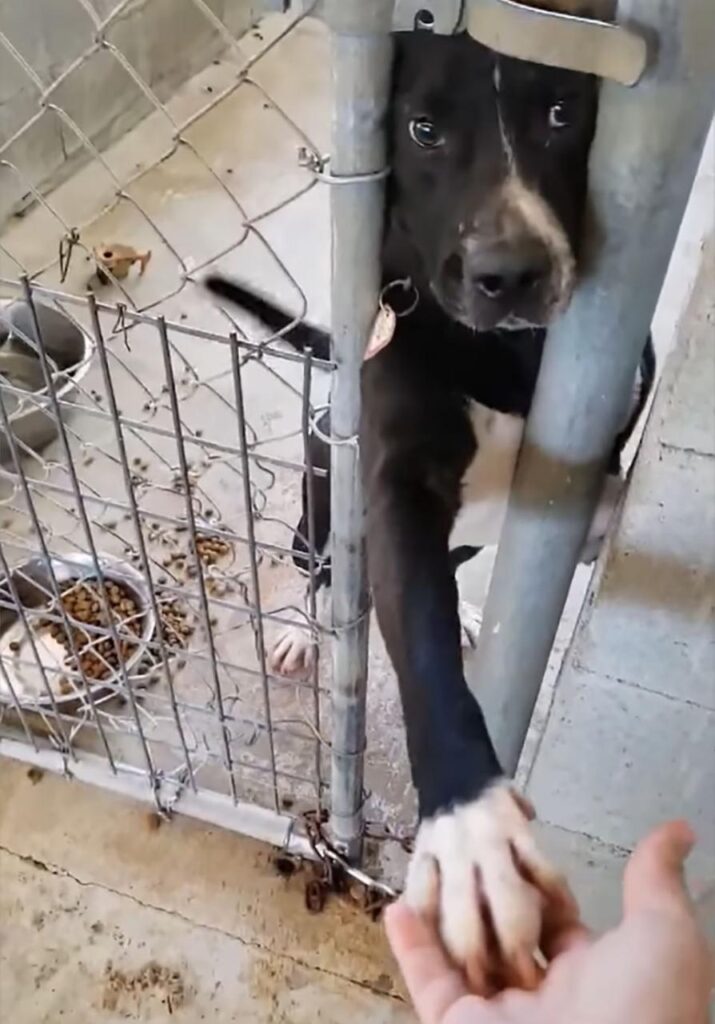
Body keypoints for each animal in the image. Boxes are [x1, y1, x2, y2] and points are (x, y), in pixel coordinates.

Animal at [204, 32, 651, 991]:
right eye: (421, 129)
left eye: (562, 112)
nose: (509, 275)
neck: (503, 355)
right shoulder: (395, 493)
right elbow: (419, 649)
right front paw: (474, 828)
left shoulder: (608, 424)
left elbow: (607, 488)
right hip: (318, 521)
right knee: (324, 577)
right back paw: (304, 631)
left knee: (454, 568)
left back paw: (475, 614)